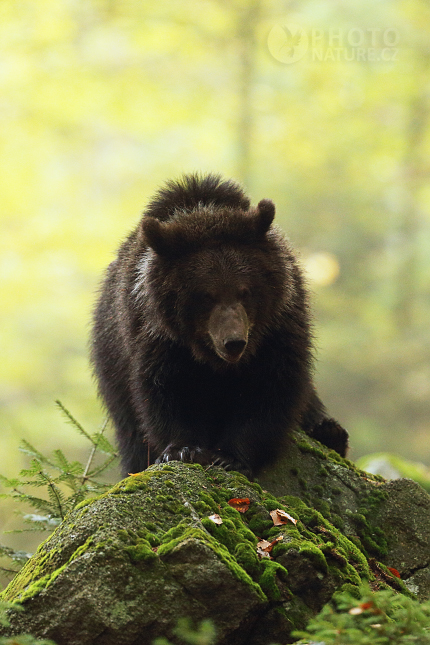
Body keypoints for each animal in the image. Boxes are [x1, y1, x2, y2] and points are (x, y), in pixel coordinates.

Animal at [91, 174, 350, 476]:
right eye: (205, 295)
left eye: (245, 291)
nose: (234, 342)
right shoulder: (157, 336)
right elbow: (166, 390)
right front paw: (183, 449)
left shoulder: (278, 329)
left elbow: (270, 388)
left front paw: (231, 456)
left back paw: (329, 432)